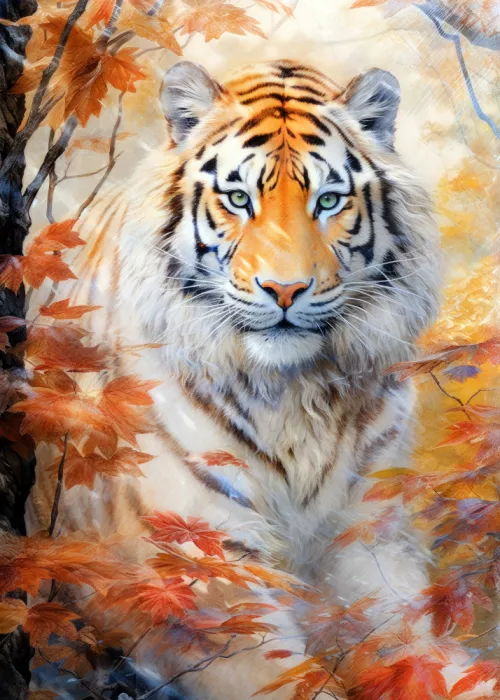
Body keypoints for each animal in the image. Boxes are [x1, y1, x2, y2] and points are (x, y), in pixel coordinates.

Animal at [26, 59, 492, 699]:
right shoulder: (195, 576)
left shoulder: (369, 549)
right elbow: (295, 680)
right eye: (238, 198)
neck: (300, 395)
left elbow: (424, 661)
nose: (285, 290)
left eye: (328, 200)